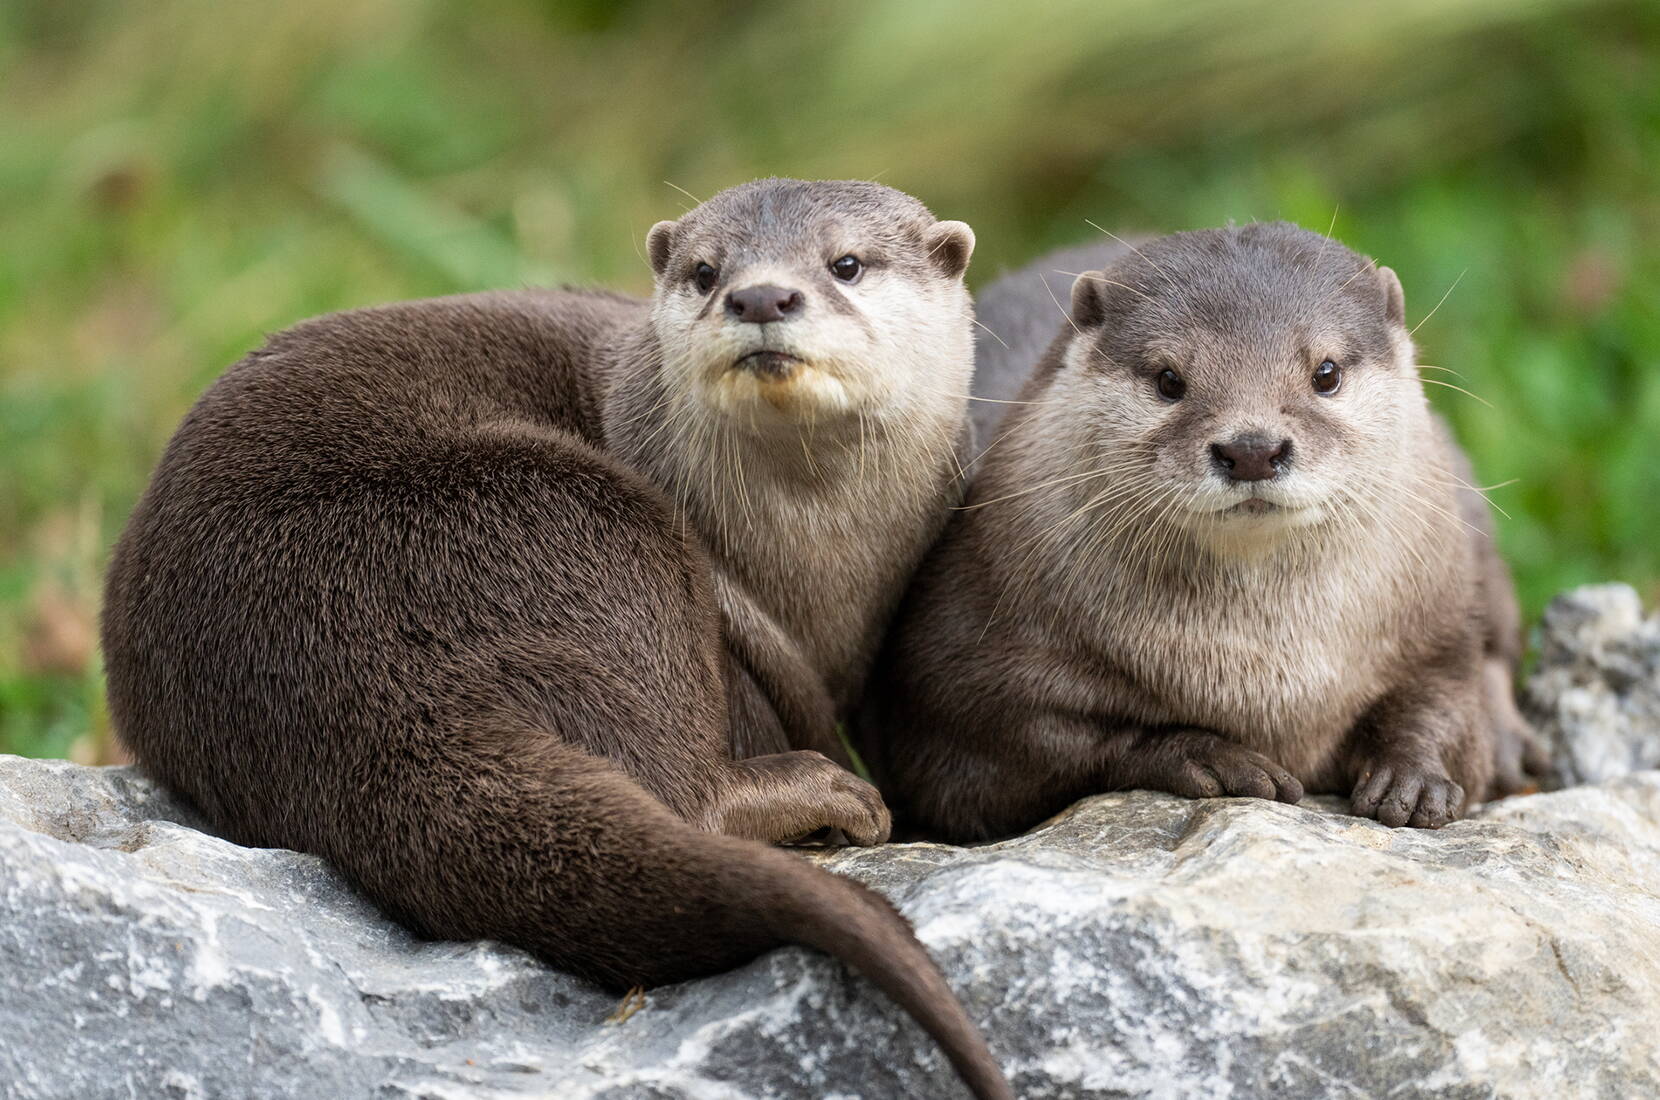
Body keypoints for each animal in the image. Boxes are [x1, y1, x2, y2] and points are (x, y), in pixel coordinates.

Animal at [110, 180, 1009, 1100]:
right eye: (705, 270)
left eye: (846, 264)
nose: (760, 296)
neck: (818, 578)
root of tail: (331, 669)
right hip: (586, 514)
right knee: (684, 790)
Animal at [869, 223, 1540, 842]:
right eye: (1169, 380)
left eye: (1325, 373)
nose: (1252, 448)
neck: (1271, 674)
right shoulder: (958, 671)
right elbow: (1024, 748)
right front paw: (1207, 755)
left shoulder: (1436, 618)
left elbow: (1442, 696)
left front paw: (1414, 775)